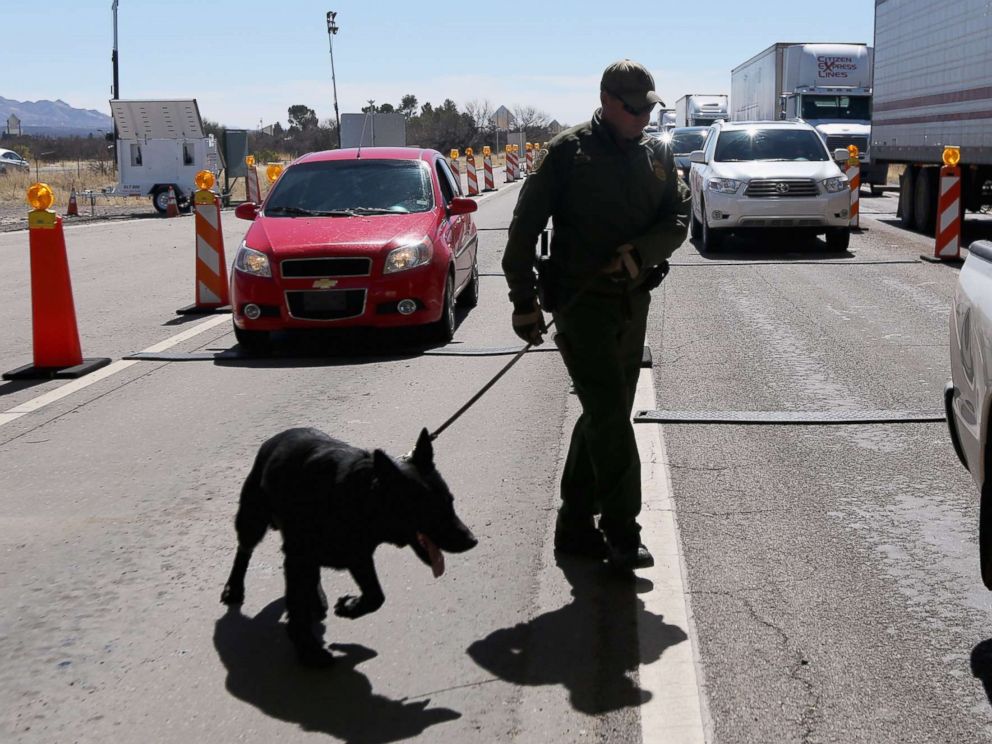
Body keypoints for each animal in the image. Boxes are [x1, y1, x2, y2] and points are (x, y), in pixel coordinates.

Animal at [221, 428, 476, 664]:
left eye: (450, 502)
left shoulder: (358, 554)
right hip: (252, 520)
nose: (472, 541)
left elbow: (376, 596)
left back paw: (317, 598)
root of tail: (279, 436)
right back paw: (234, 588)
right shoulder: (299, 557)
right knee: (244, 551)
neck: (358, 497)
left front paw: (350, 608)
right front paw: (309, 651)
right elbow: (297, 609)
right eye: (430, 510)